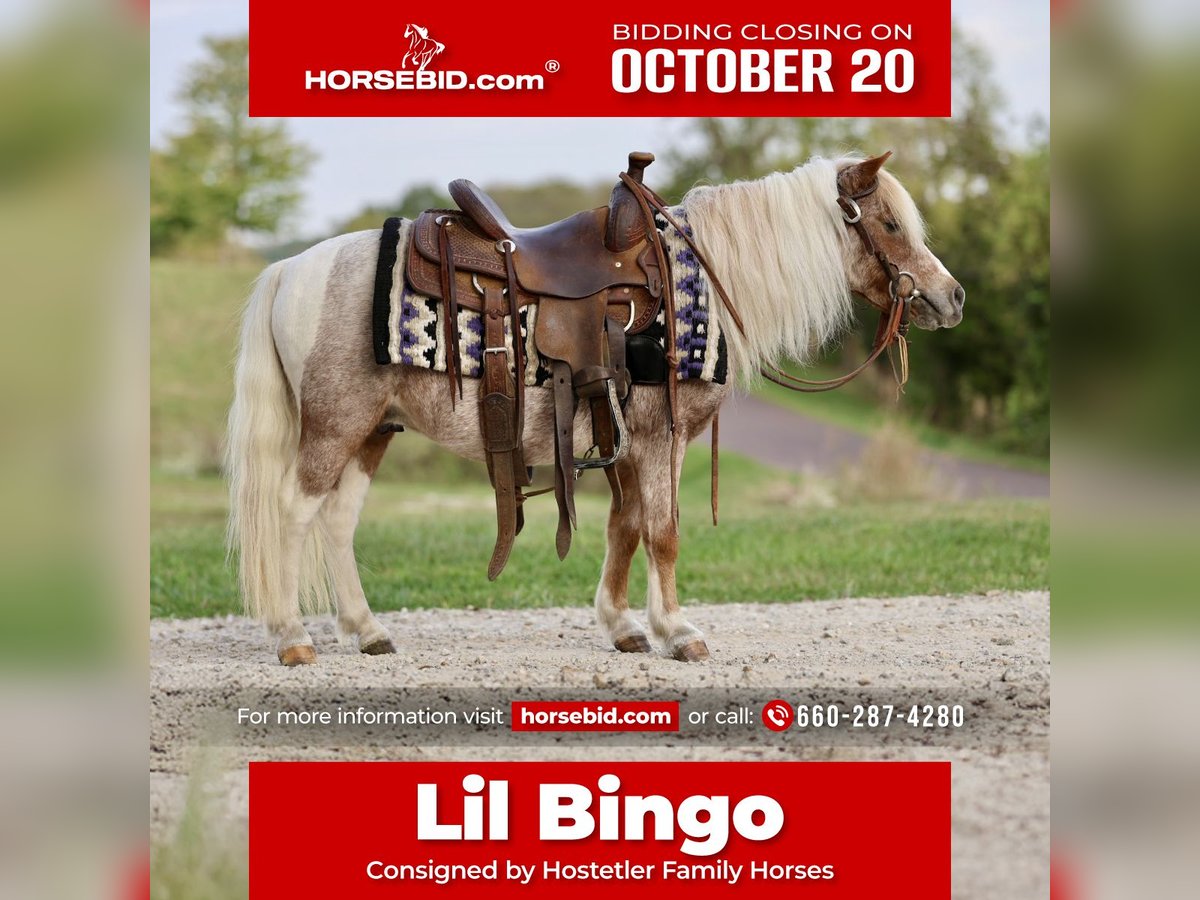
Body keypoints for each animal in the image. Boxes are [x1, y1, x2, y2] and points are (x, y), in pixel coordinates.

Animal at [225, 153, 965, 666]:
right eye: (890, 222)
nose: (953, 297)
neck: (701, 279)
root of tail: (290, 270)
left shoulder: (631, 440)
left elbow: (626, 526)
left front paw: (625, 626)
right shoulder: (662, 436)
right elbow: (663, 532)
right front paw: (678, 632)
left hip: (374, 431)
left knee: (337, 522)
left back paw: (368, 631)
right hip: (334, 428)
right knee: (294, 514)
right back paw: (292, 637)